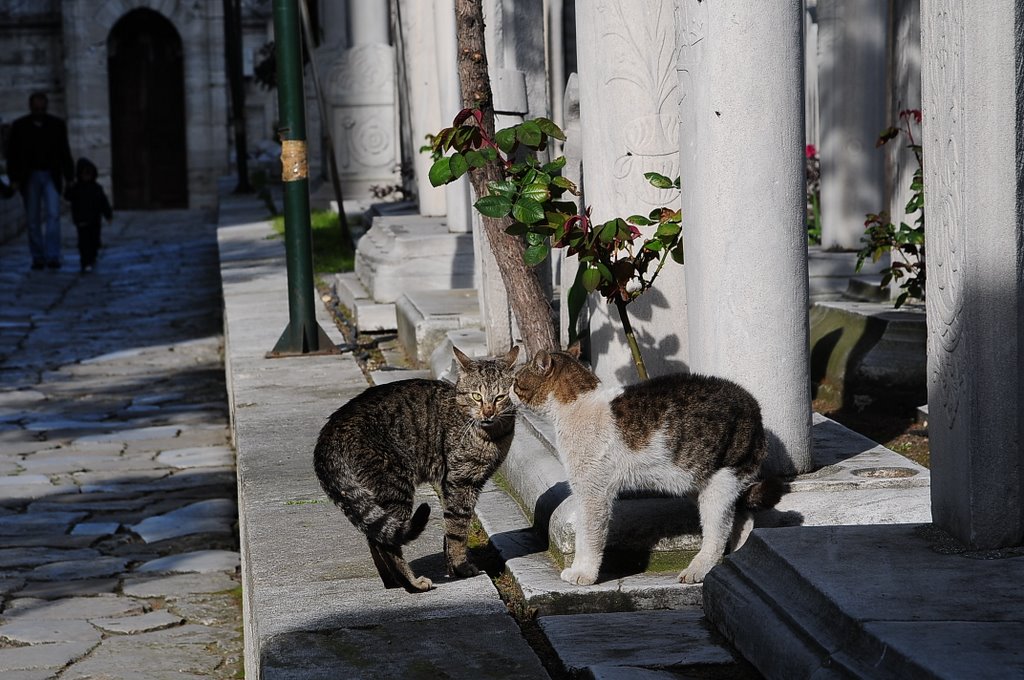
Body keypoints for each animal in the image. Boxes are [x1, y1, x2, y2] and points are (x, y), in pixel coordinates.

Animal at [311, 346, 520, 589]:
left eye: (500, 397)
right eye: (476, 396)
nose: (488, 413)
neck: (492, 434)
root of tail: (331, 427)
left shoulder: (464, 484)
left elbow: (450, 531)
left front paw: (452, 567)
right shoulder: (461, 481)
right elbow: (458, 529)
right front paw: (461, 567)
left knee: (375, 534)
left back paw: (392, 582)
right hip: (394, 485)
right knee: (387, 543)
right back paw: (411, 583)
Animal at [512, 346, 782, 585]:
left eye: (516, 381)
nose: (509, 389)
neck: (577, 404)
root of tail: (754, 407)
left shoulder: (592, 492)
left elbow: (587, 536)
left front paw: (582, 574)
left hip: (720, 482)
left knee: (718, 532)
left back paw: (698, 569)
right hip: (696, 482)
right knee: (743, 518)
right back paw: (735, 557)